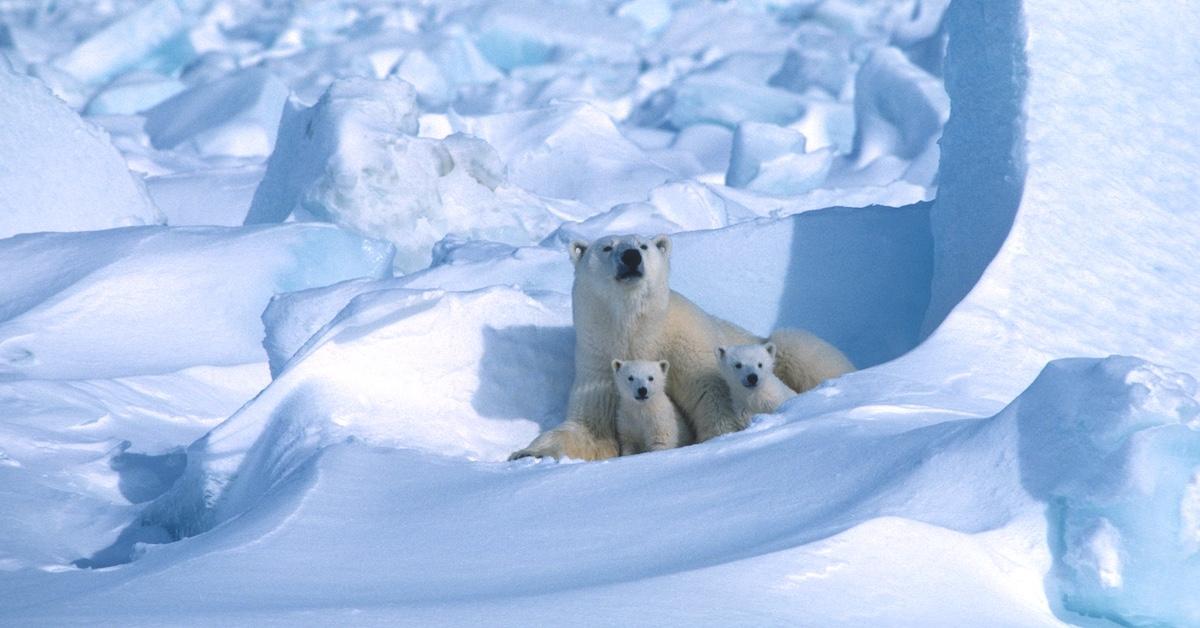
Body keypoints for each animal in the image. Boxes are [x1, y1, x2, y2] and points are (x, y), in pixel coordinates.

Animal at [506, 231, 854, 461]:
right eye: (607, 247)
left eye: (643, 245)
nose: (631, 257)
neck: (638, 333)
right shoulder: (599, 364)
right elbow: (590, 428)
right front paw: (527, 453)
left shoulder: (687, 348)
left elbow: (712, 398)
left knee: (796, 345)